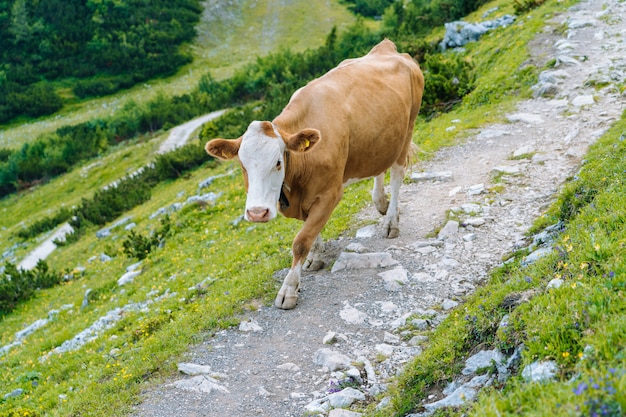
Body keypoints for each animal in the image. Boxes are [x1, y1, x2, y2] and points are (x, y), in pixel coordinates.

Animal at [205, 39, 424, 308]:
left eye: (278, 162)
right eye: (243, 166)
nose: (257, 213)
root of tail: (387, 46)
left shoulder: (330, 193)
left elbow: (301, 241)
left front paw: (289, 289)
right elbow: (310, 230)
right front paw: (315, 257)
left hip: (408, 128)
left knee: (397, 174)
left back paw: (391, 220)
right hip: (380, 137)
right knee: (379, 166)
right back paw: (380, 201)